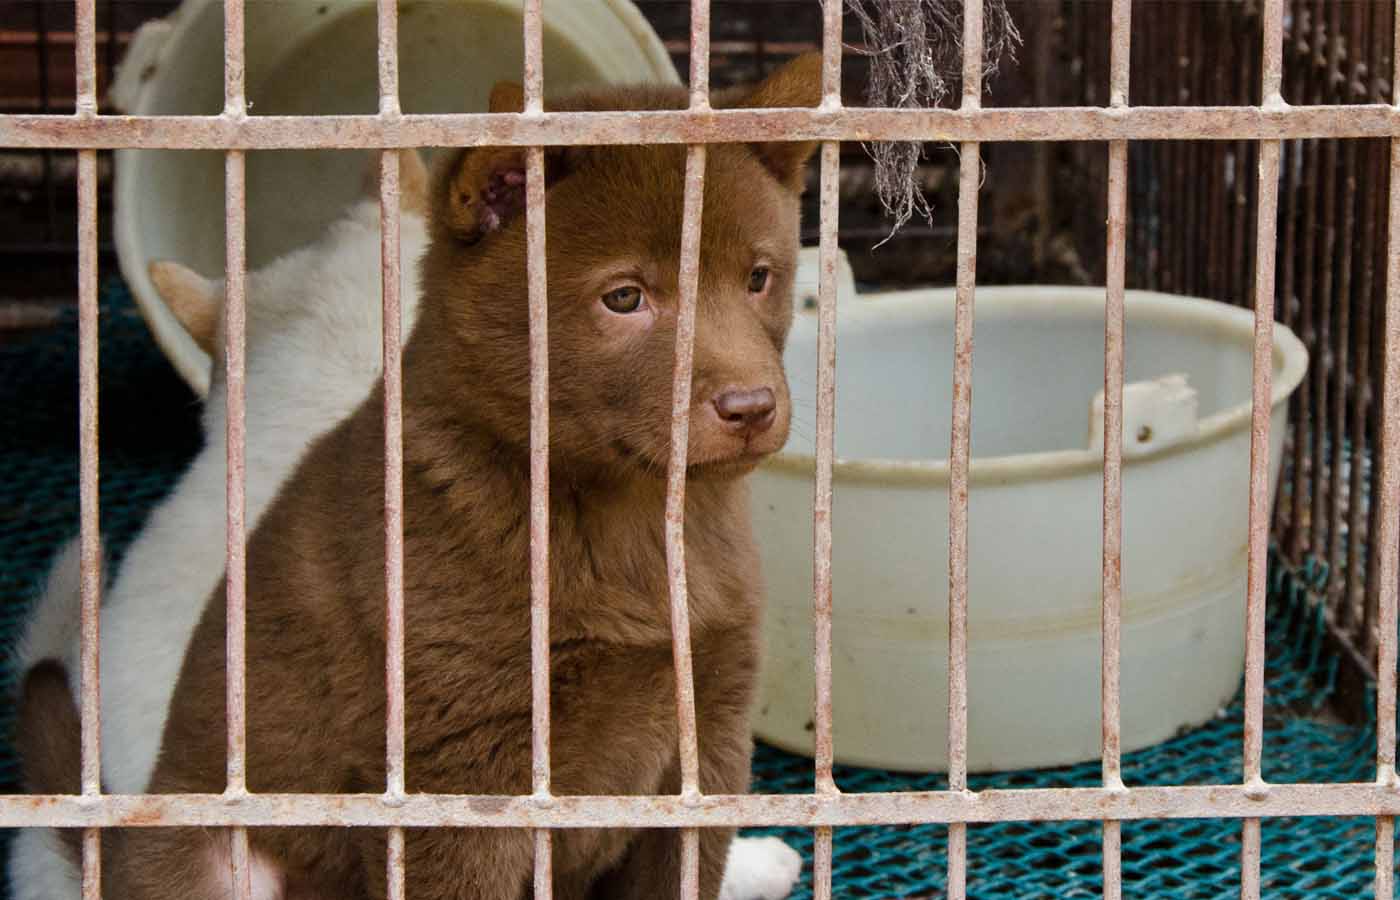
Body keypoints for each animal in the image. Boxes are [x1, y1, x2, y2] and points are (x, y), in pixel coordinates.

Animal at [106, 56, 817, 900]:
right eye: (624, 297)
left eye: (759, 278)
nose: (750, 406)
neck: (630, 520)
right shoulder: (462, 778)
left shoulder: (711, 730)